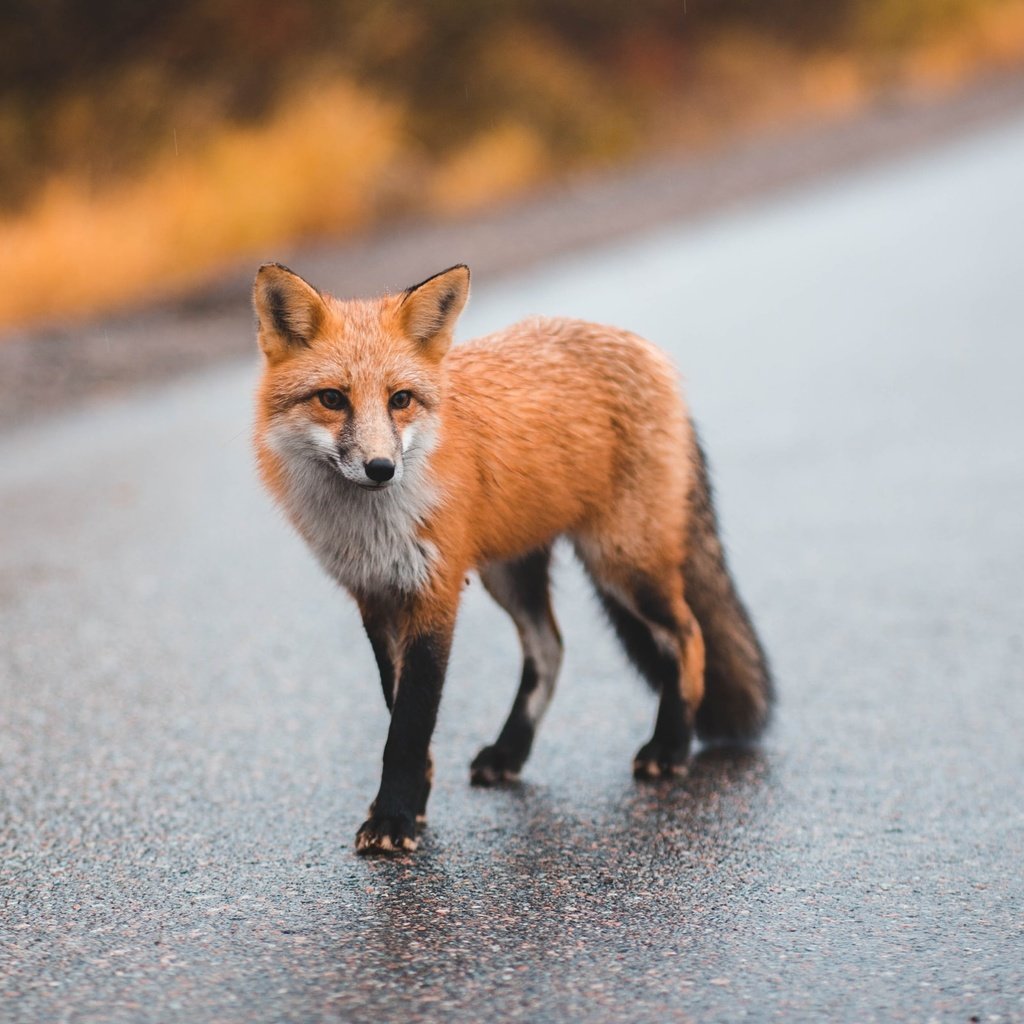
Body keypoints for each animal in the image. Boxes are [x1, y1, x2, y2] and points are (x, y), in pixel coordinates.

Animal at [251, 264, 770, 856]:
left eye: (400, 399)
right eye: (333, 399)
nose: (382, 468)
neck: (372, 526)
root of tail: (645, 349)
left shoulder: (436, 592)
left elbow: (409, 723)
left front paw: (394, 818)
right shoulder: (376, 597)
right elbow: (397, 708)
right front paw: (413, 802)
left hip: (622, 563)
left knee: (687, 636)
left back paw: (670, 747)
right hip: (511, 574)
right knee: (551, 648)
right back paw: (510, 752)